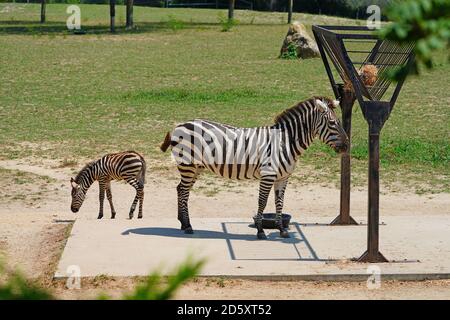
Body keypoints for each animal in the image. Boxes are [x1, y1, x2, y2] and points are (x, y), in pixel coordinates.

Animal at [160, 96, 350, 239]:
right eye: (332, 123)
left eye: (339, 121)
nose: (347, 146)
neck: (284, 142)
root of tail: (179, 125)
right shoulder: (268, 174)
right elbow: (263, 201)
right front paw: (260, 231)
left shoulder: (283, 177)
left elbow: (279, 202)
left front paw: (282, 230)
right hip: (188, 165)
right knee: (183, 191)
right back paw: (188, 226)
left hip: (196, 167)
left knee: (181, 190)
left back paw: (183, 223)